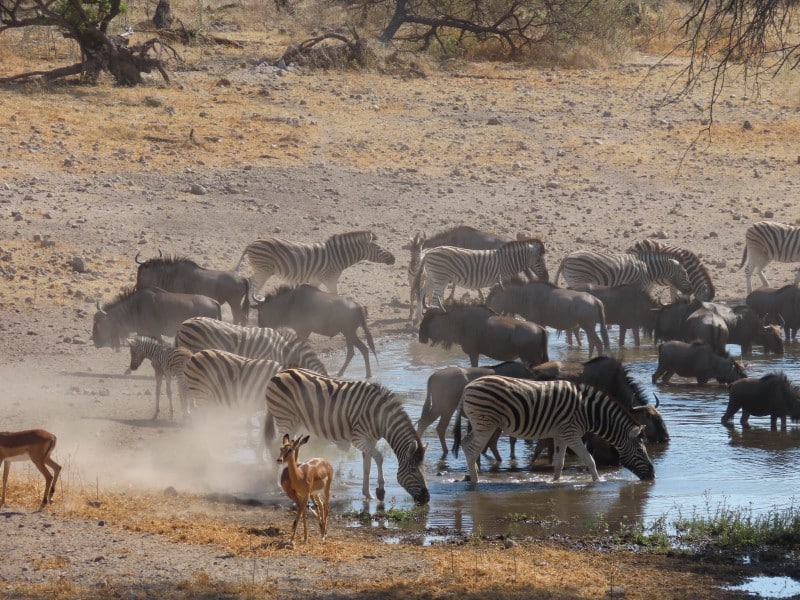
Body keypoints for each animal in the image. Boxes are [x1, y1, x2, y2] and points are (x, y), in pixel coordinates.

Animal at [235, 230, 395, 295]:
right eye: (379, 248)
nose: (394, 258)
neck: (338, 256)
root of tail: (252, 243)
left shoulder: (315, 279)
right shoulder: (329, 278)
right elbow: (335, 295)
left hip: (261, 269)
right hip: (264, 269)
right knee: (253, 285)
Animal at [264, 368, 429, 504]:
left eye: (425, 469)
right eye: (414, 471)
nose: (427, 499)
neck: (380, 419)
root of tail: (280, 373)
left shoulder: (370, 440)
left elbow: (367, 465)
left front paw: (368, 493)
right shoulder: (358, 438)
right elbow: (379, 458)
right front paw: (381, 491)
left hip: (295, 421)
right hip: (285, 417)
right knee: (279, 446)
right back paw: (279, 483)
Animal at [413, 238, 549, 323]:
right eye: (539, 260)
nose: (546, 278)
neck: (508, 261)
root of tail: (428, 253)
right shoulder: (503, 279)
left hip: (433, 277)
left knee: (421, 292)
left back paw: (418, 318)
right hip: (441, 278)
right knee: (435, 299)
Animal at [452, 376, 655, 484]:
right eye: (640, 450)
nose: (653, 476)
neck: (589, 412)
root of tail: (467, 387)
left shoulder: (561, 435)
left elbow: (559, 462)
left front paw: (556, 482)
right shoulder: (572, 433)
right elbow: (589, 460)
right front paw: (598, 482)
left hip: (480, 424)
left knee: (466, 443)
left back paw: (471, 475)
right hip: (486, 424)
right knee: (473, 449)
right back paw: (476, 481)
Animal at [555, 250, 692, 298]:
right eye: (684, 274)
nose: (690, 291)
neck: (648, 270)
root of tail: (566, 257)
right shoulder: (640, 286)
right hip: (578, 279)